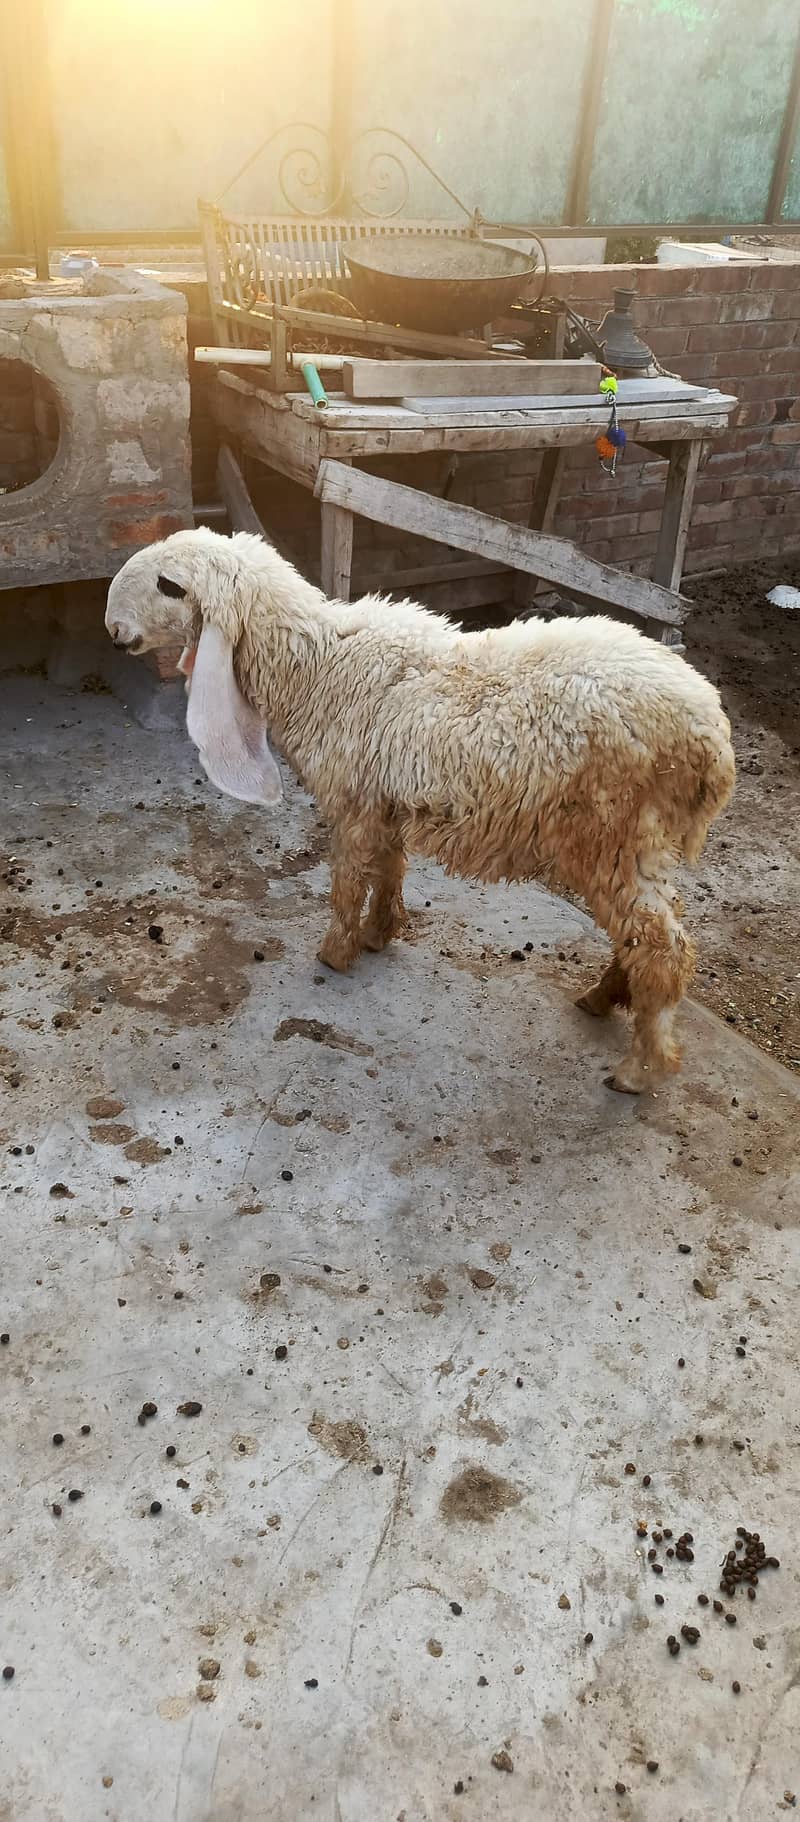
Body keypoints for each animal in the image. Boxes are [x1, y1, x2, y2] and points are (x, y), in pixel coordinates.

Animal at [106, 526, 735, 1093]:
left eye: (169, 586)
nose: (113, 631)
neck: (319, 669)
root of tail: (712, 737)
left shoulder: (355, 801)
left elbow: (347, 883)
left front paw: (336, 953)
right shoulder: (386, 799)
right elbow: (389, 868)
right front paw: (379, 933)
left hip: (614, 830)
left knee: (662, 946)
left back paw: (639, 1068)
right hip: (638, 842)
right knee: (646, 934)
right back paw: (604, 998)